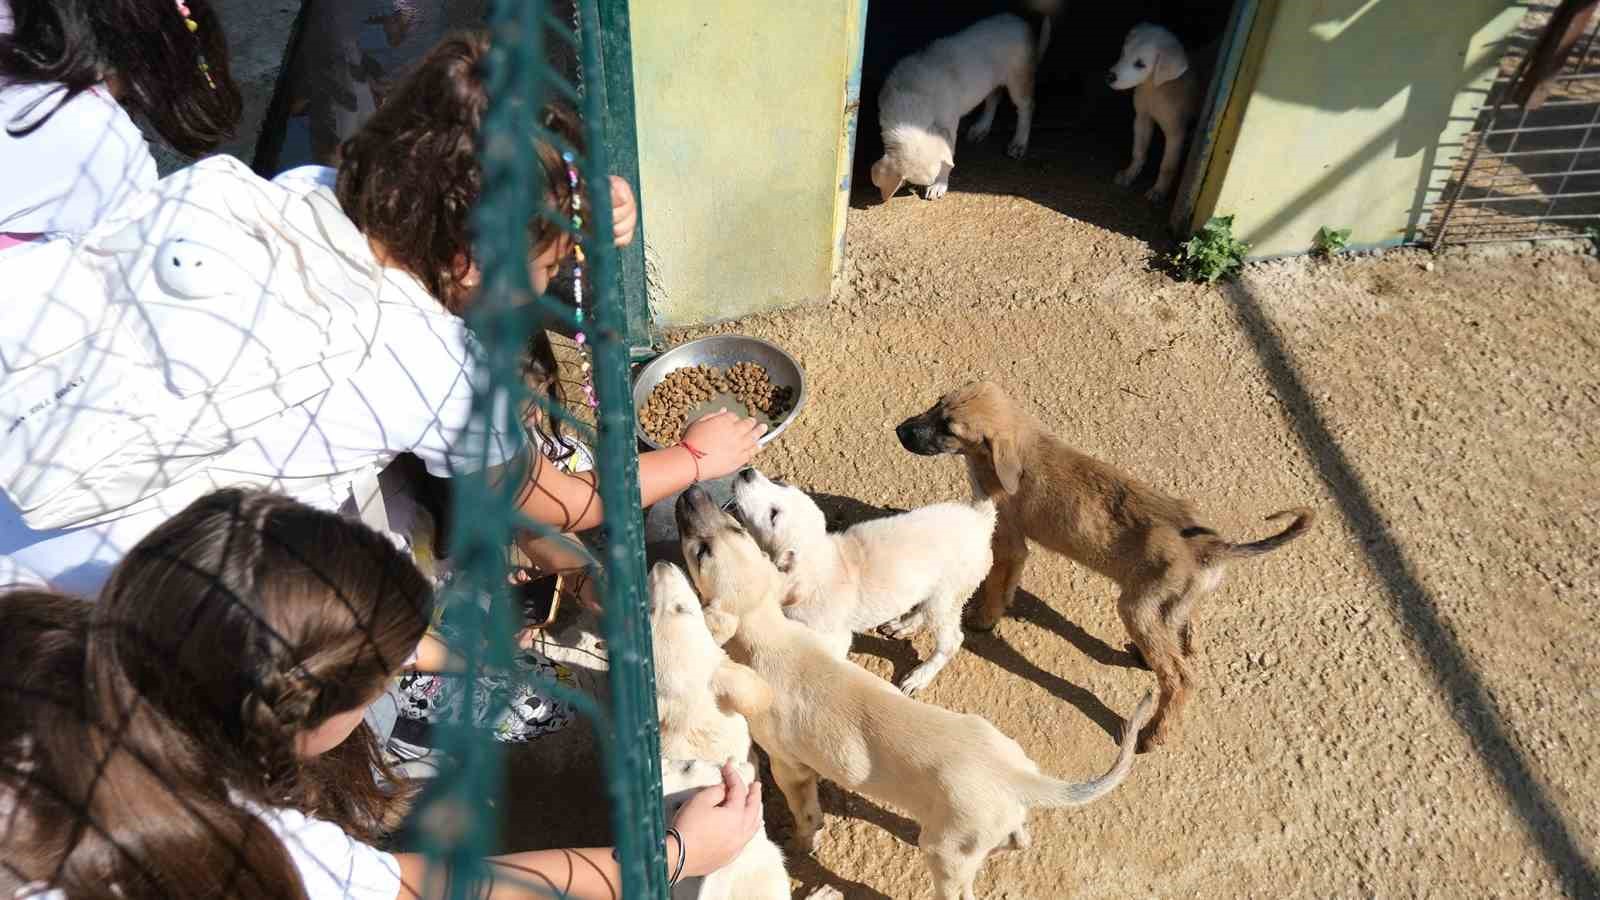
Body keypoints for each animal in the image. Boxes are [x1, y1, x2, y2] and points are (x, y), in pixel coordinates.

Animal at [729, 470, 998, 695]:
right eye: (781, 483)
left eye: (773, 515)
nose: (746, 472)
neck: (822, 564)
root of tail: (981, 520)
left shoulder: (835, 638)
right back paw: (902, 625)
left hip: (946, 596)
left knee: (952, 640)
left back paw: (920, 676)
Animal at [876, 1, 1062, 201]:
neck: (911, 98)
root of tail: (1023, 25)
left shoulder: (949, 124)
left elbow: (948, 157)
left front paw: (939, 185)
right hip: (991, 81)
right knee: (993, 99)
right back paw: (981, 128)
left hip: (1018, 78)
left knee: (1026, 107)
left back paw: (1019, 143)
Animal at [896, 379, 1318, 749]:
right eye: (936, 404)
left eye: (949, 429)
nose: (900, 430)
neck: (1021, 447)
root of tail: (1214, 546)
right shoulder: (1016, 548)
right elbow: (1004, 582)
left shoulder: (1010, 540)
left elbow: (994, 586)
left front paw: (984, 619)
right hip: (1172, 607)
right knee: (1184, 643)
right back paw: (1146, 660)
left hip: (1135, 607)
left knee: (1181, 678)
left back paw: (1155, 736)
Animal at [1113, 23, 1203, 203]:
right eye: (1123, 52)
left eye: (1140, 64)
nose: (1109, 77)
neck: (1154, 89)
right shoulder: (1142, 119)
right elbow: (1138, 152)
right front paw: (1129, 175)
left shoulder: (1175, 133)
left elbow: (1167, 166)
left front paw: (1159, 191)